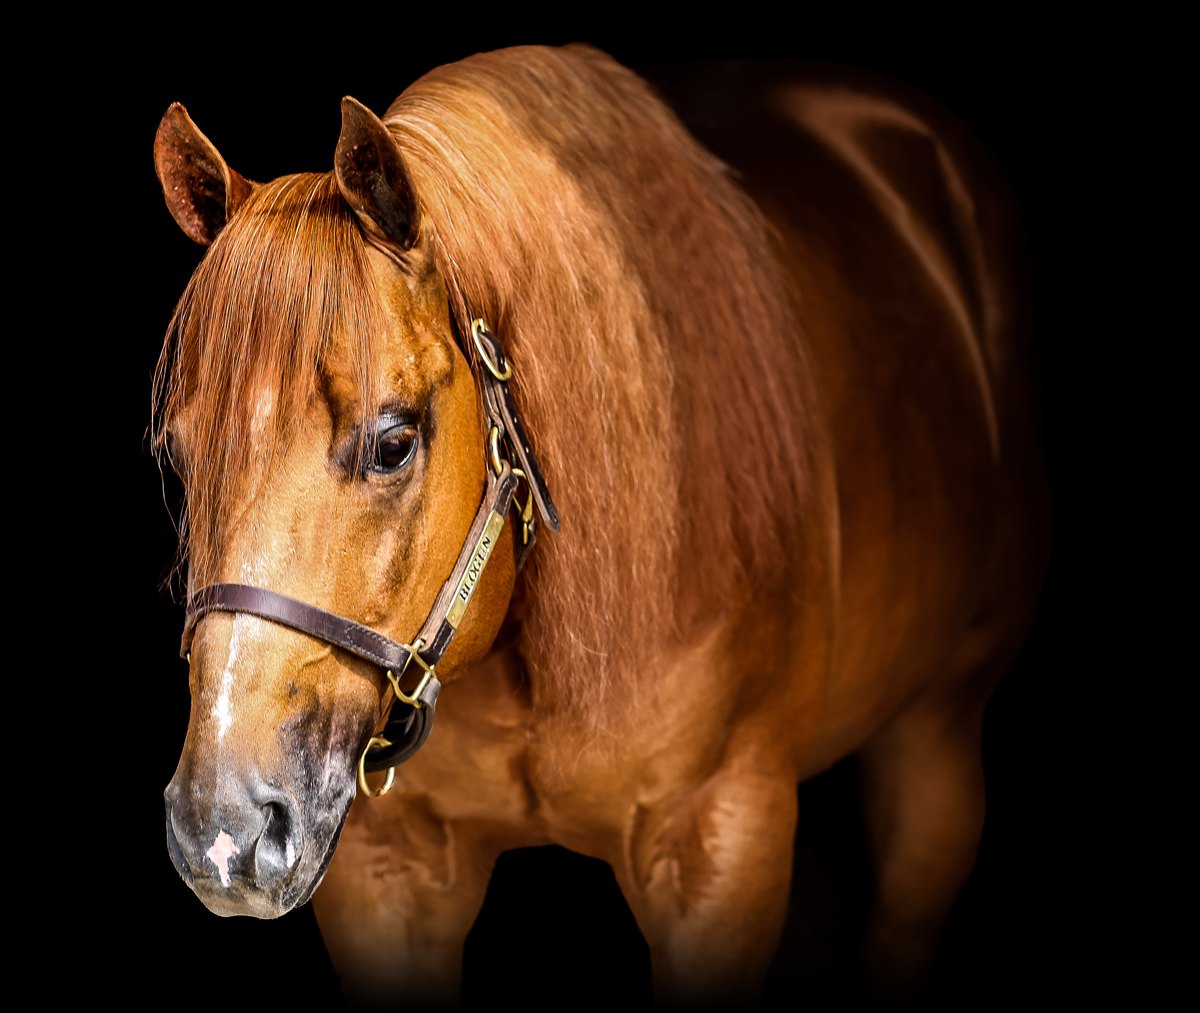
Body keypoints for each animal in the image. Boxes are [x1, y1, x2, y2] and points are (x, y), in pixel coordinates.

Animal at [151, 45, 1050, 1006]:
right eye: (179, 453)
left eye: (394, 440)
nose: (222, 830)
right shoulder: (389, 867)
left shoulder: (721, 838)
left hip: (939, 739)